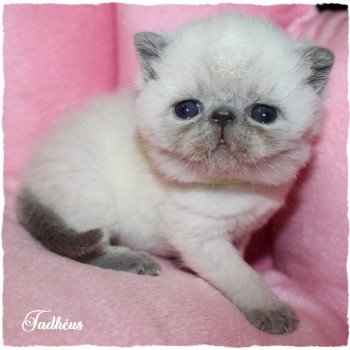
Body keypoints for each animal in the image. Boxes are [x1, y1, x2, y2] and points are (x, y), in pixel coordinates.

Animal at [17, 11, 334, 334]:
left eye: (263, 114)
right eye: (187, 110)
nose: (222, 115)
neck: (230, 186)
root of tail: (27, 181)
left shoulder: (241, 231)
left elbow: (242, 259)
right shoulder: (201, 240)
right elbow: (242, 275)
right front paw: (272, 311)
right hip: (95, 201)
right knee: (90, 249)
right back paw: (137, 261)